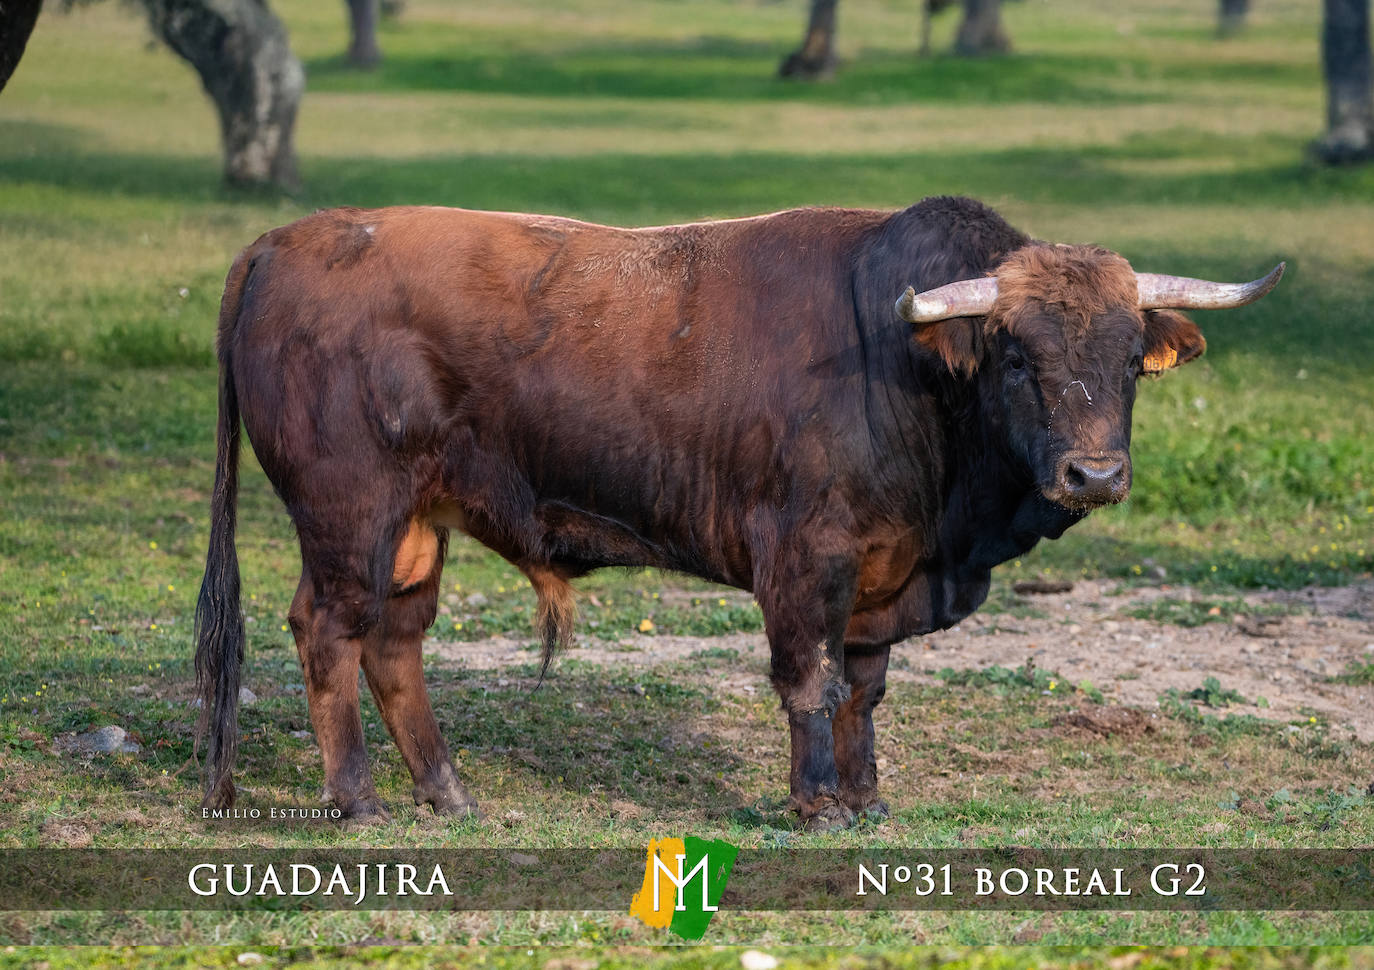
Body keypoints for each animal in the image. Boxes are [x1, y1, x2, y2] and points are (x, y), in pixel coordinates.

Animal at [199, 195, 1280, 824]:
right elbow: (810, 683)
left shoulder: (880, 575)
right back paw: (357, 799)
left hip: (419, 523)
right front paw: (814, 803)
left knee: (394, 643)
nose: (1094, 474)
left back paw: (446, 790)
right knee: (329, 633)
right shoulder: (804, 558)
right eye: (1018, 355)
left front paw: (865, 797)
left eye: (1127, 357)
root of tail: (283, 242)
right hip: (350, 513)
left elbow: (863, 691)